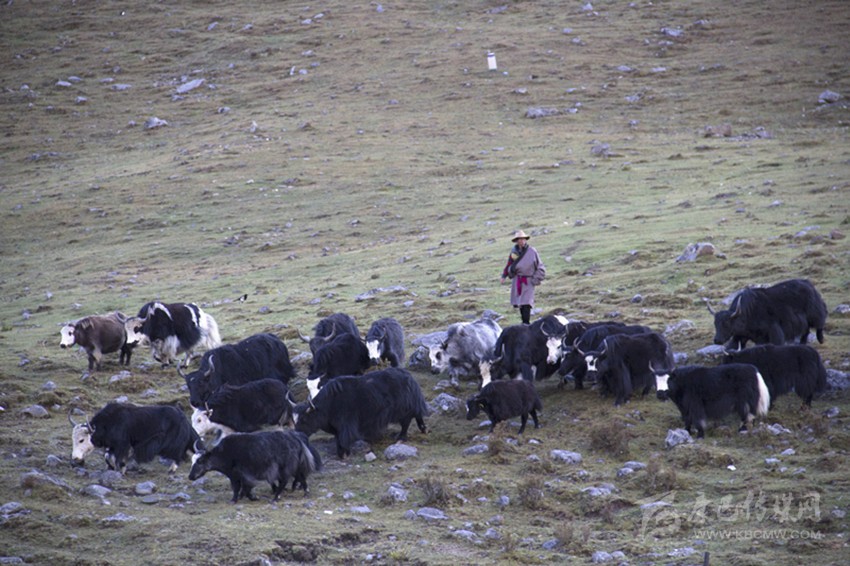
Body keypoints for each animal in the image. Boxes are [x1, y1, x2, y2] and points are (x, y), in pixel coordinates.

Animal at [188, 430, 322, 503]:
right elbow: (239, 488)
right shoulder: (236, 476)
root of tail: (296, 439)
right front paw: (240, 497)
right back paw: (306, 493)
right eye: (192, 461)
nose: (190, 477)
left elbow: (241, 487)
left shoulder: (240, 475)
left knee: (284, 481)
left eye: (200, 461)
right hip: (295, 467)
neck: (224, 454)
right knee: (301, 477)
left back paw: (276, 498)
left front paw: (242, 498)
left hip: (284, 468)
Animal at [294, 368, 429, 459]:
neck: (328, 405)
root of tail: (409, 377)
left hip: (403, 410)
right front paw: (340, 453)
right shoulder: (337, 427)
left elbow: (343, 439)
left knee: (407, 422)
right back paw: (423, 429)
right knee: (417, 415)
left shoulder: (346, 424)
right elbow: (338, 439)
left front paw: (345, 454)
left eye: (304, 420)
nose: (298, 436)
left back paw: (401, 438)